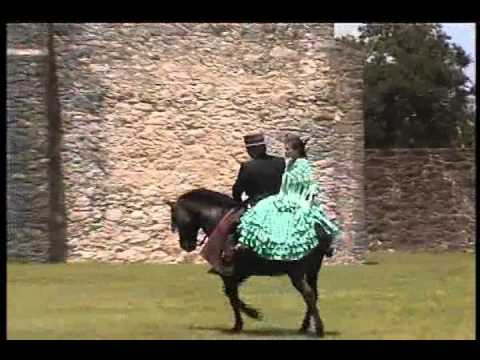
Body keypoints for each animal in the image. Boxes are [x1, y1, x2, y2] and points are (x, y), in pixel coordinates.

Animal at [169, 188, 334, 338]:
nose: (186, 246)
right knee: (313, 295)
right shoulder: (239, 274)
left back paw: (319, 329)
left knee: (308, 295)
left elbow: (232, 297)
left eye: (175, 218)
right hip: (312, 271)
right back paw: (305, 327)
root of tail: (318, 229)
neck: (219, 218)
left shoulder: (228, 274)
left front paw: (244, 320)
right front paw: (246, 319)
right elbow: (232, 295)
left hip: (297, 272)